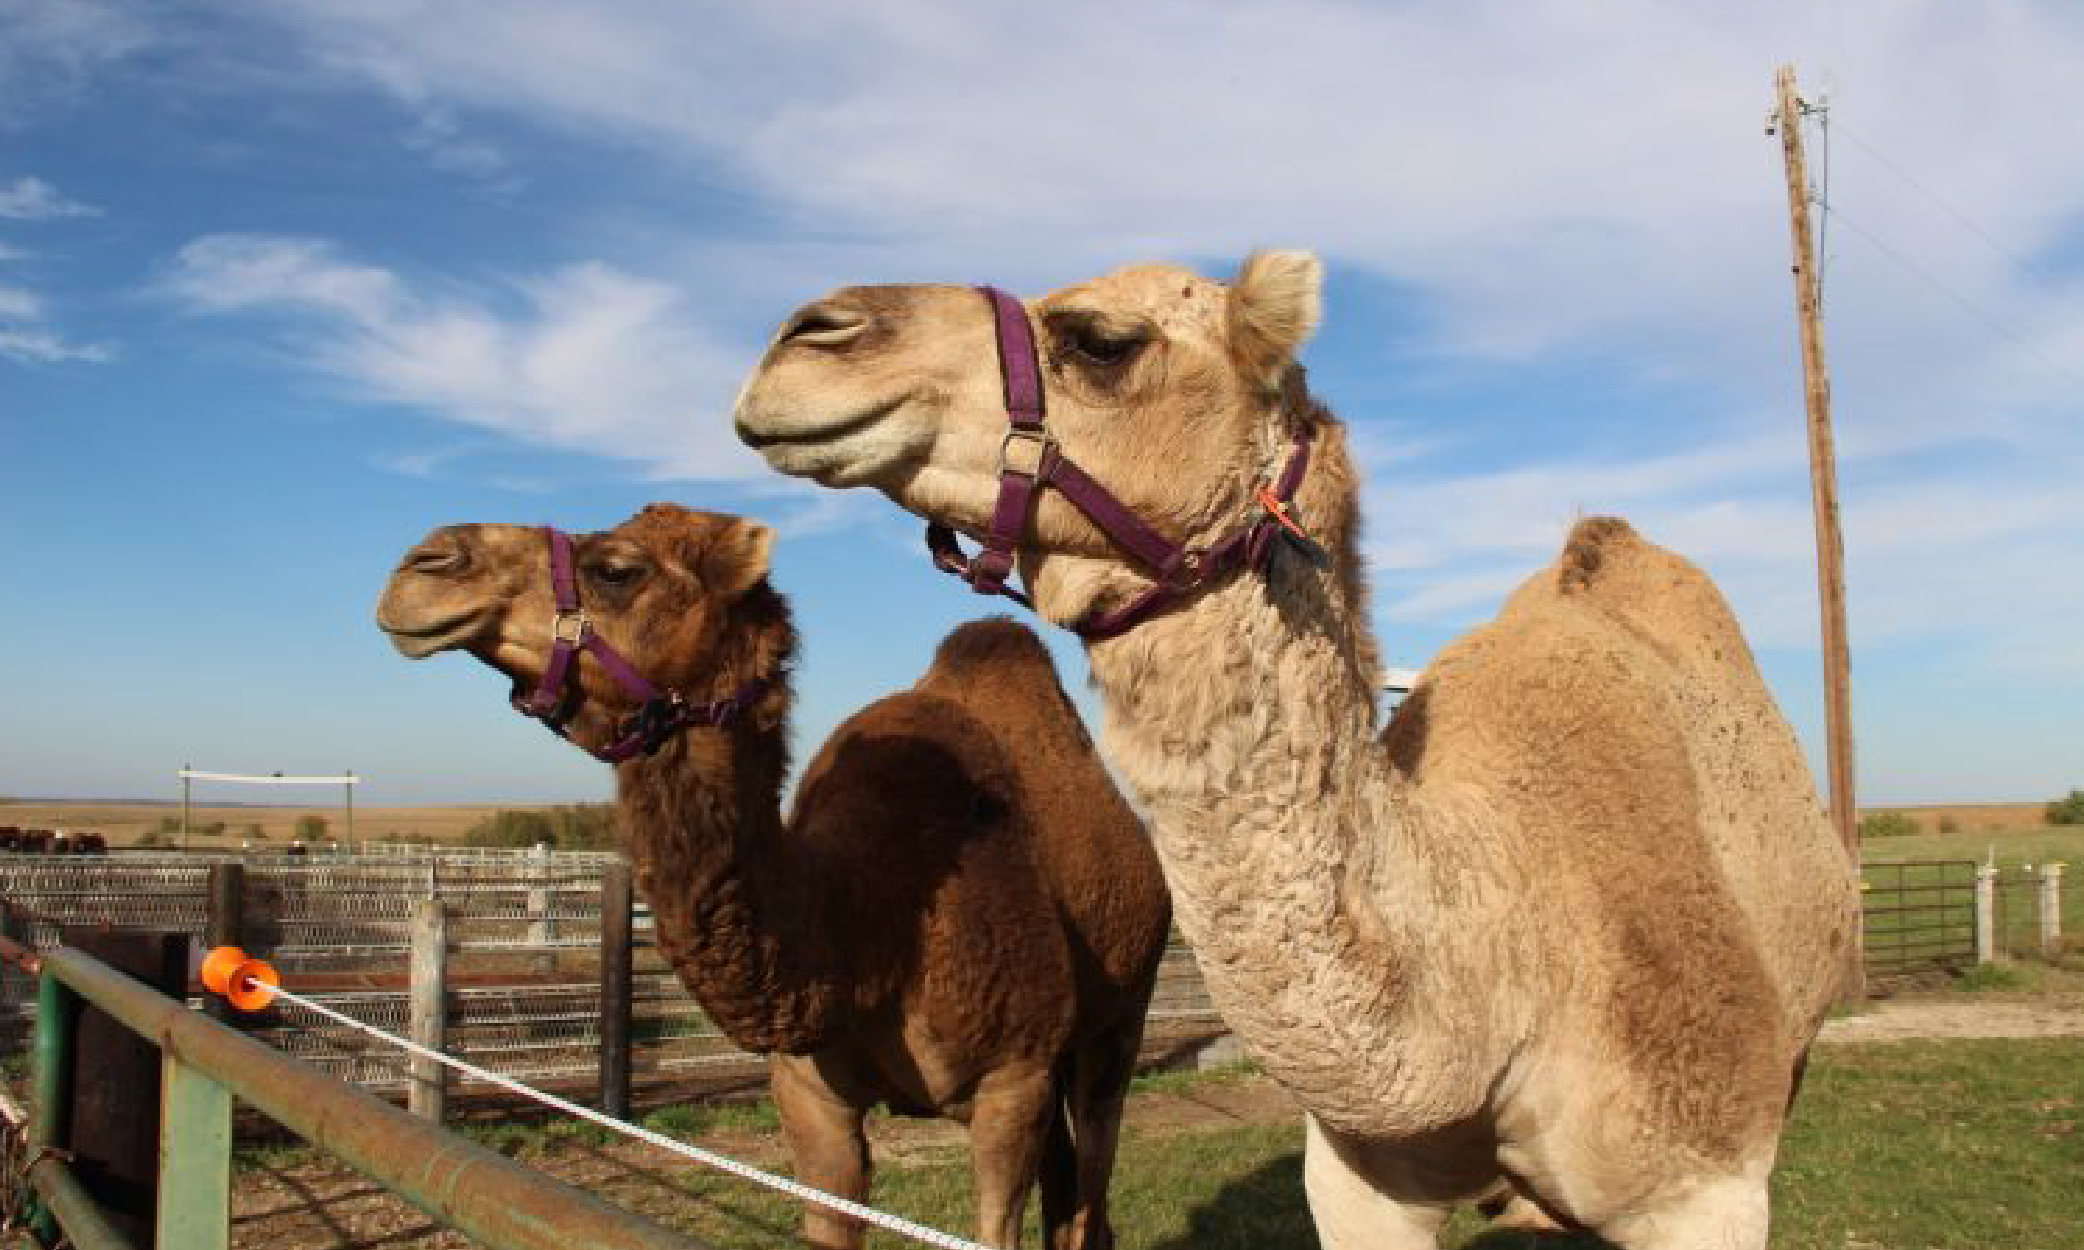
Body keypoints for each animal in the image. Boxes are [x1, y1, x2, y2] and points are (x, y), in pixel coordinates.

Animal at [379, 506, 1175, 1250]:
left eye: (617, 569)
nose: (423, 564)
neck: (873, 923)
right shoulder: (807, 1092)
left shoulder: (1012, 1080)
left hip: (1118, 1020)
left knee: (1092, 1173)